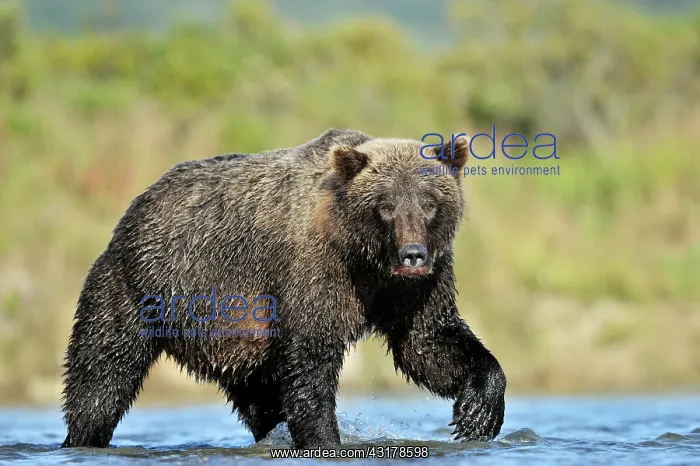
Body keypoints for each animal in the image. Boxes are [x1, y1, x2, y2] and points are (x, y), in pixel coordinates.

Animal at [60, 128, 506, 449]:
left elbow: (428, 342)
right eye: (385, 205)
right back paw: (82, 438)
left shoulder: (418, 286)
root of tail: (135, 207)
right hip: (141, 289)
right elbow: (311, 361)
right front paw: (326, 439)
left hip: (238, 340)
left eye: (429, 202)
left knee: (261, 400)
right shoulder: (312, 271)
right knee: (102, 377)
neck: (366, 259)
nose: (413, 254)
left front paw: (478, 413)